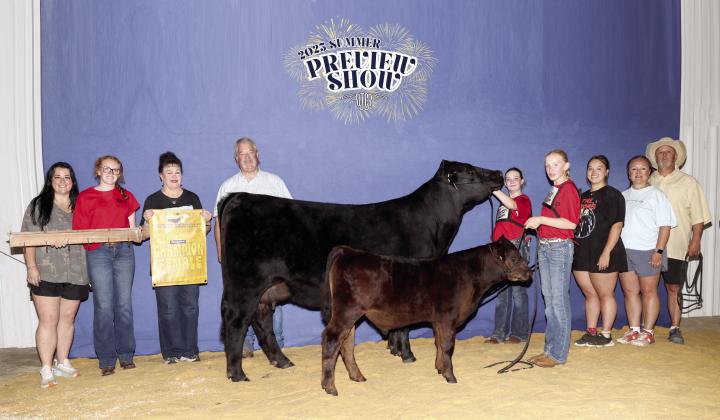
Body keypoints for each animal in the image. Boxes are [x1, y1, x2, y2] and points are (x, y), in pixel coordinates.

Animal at [218, 160, 503, 382]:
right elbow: (405, 324)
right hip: (245, 282)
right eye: (471, 171)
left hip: (268, 287)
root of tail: (241, 196)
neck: (432, 226)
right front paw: (407, 354)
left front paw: (395, 350)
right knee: (236, 319)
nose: (499, 173)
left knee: (261, 318)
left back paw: (281, 360)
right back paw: (236, 373)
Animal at [320, 238, 532, 396]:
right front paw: (450, 376)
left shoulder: (438, 320)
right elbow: (447, 346)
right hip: (347, 312)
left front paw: (439, 368)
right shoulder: (448, 317)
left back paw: (357, 376)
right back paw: (330, 387)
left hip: (350, 315)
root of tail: (348, 251)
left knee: (347, 344)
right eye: (515, 257)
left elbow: (438, 344)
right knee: (332, 340)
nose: (529, 272)